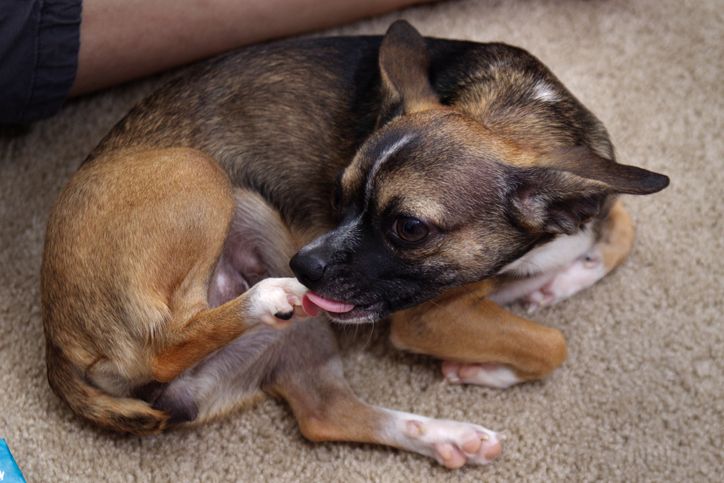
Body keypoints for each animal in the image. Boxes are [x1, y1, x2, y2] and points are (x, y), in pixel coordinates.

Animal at [42, 21, 672, 468]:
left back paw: (447, 437)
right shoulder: (424, 319)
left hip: (297, 330)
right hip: (203, 177)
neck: (510, 113)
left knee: (325, 413)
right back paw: (267, 296)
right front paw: (489, 365)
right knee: (165, 340)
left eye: (409, 229)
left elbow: (618, 232)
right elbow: (549, 344)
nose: (305, 262)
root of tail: (57, 342)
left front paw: (551, 284)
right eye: (340, 194)